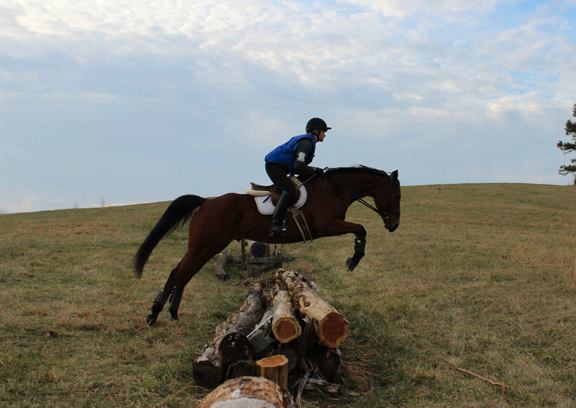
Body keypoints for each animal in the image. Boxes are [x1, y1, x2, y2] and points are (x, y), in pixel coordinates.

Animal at [134, 166, 400, 326]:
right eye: (396, 195)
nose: (394, 225)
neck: (335, 189)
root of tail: (206, 202)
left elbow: (360, 229)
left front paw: (354, 259)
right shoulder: (327, 225)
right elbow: (361, 229)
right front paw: (353, 260)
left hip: (207, 247)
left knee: (184, 274)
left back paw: (172, 312)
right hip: (204, 246)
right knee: (178, 273)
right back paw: (154, 314)